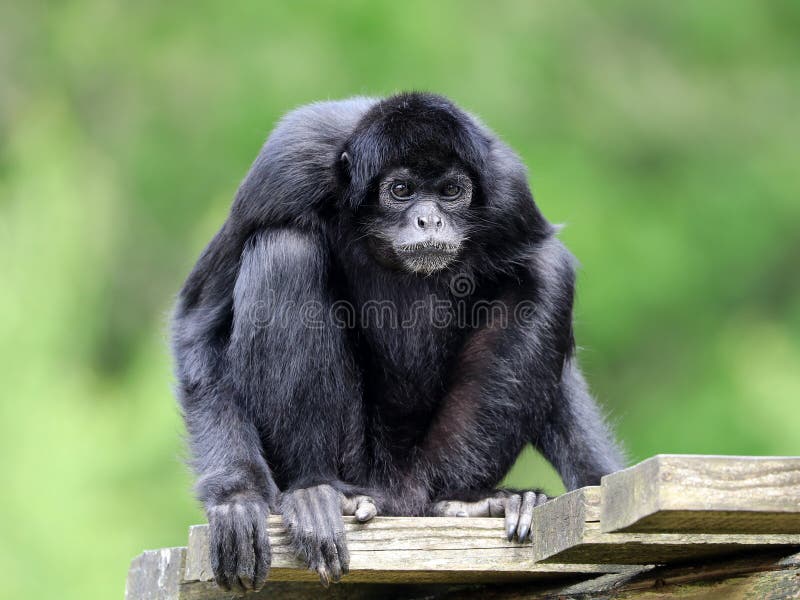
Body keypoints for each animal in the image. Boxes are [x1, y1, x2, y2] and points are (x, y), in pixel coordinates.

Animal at [173, 92, 624, 592]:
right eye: (402, 190)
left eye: (450, 192)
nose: (430, 219)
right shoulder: (285, 168)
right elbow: (199, 328)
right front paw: (236, 499)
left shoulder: (510, 193)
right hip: (356, 462)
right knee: (285, 249)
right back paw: (317, 492)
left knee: (546, 270)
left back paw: (461, 502)